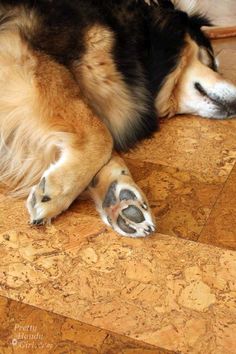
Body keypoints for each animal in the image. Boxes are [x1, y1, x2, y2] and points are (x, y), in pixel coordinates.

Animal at [0, 0, 235, 238]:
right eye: (210, 60)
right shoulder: (21, 50)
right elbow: (102, 136)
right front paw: (56, 190)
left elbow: (107, 148)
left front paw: (120, 195)